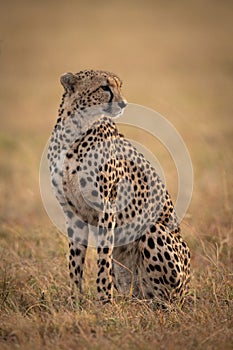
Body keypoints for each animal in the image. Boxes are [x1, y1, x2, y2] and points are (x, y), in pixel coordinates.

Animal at [47, 69, 191, 304]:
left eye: (119, 87)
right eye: (104, 87)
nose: (123, 103)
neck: (74, 131)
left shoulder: (107, 206)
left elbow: (103, 257)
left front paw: (105, 300)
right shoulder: (72, 212)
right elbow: (74, 261)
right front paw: (74, 299)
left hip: (154, 230)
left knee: (164, 298)